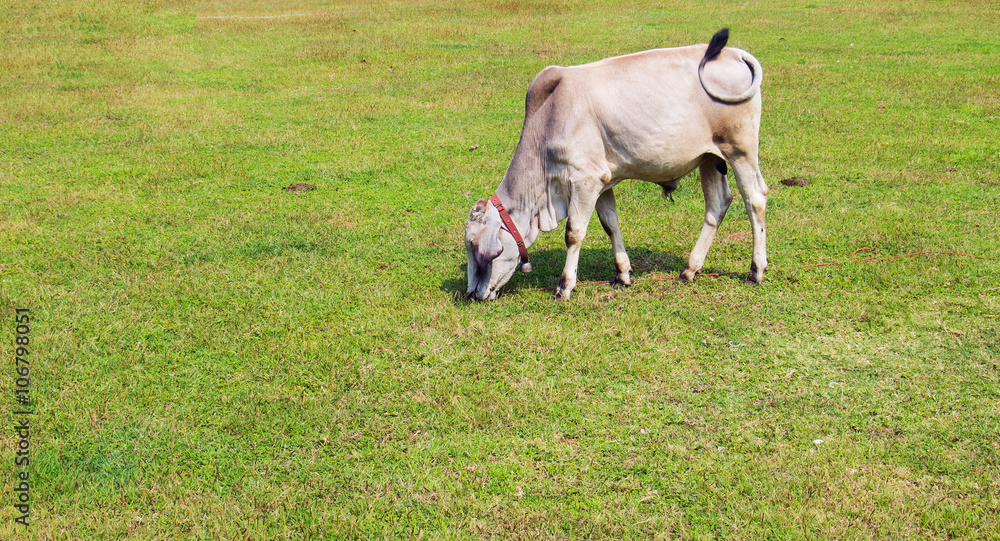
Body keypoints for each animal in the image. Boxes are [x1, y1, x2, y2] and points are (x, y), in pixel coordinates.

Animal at [465, 28, 767, 301]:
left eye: (474, 245)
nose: (472, 294)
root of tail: (733, 53)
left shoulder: (585, 179)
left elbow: (574, 233)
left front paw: (565, 286)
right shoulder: (602, 181)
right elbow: (610, 224)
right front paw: (622, 273)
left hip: (740, 150)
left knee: (755, 199)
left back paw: (756, 270)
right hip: (710, 157)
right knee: (717, 204)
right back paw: (690, 270)